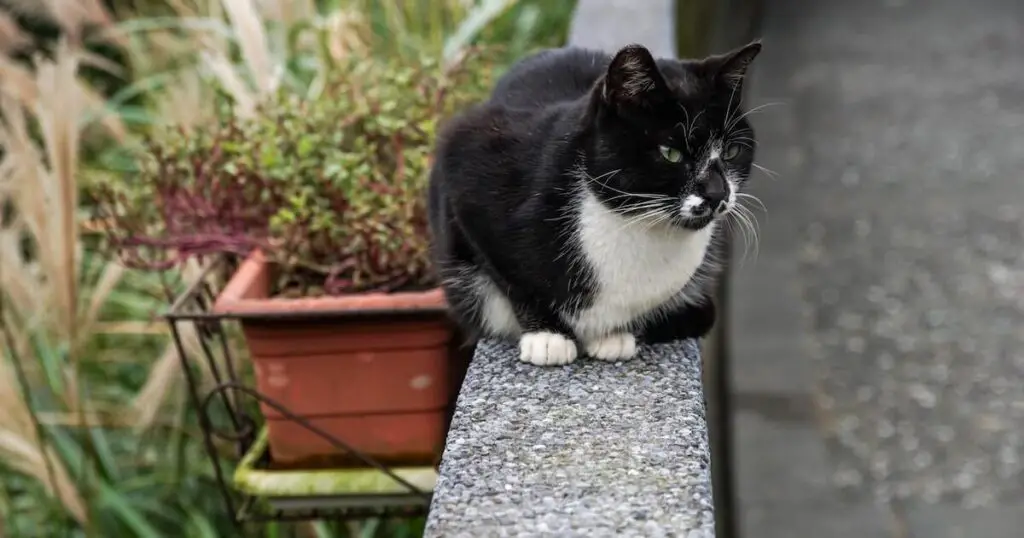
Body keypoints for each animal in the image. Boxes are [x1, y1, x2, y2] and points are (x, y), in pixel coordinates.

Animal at [423, 40, 761, 364]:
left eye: (731, 151)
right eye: (671, 153)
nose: (718, 193)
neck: (631, 220)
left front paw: (614, 335)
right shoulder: (468, 168)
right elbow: (511, 279)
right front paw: (547, 336)